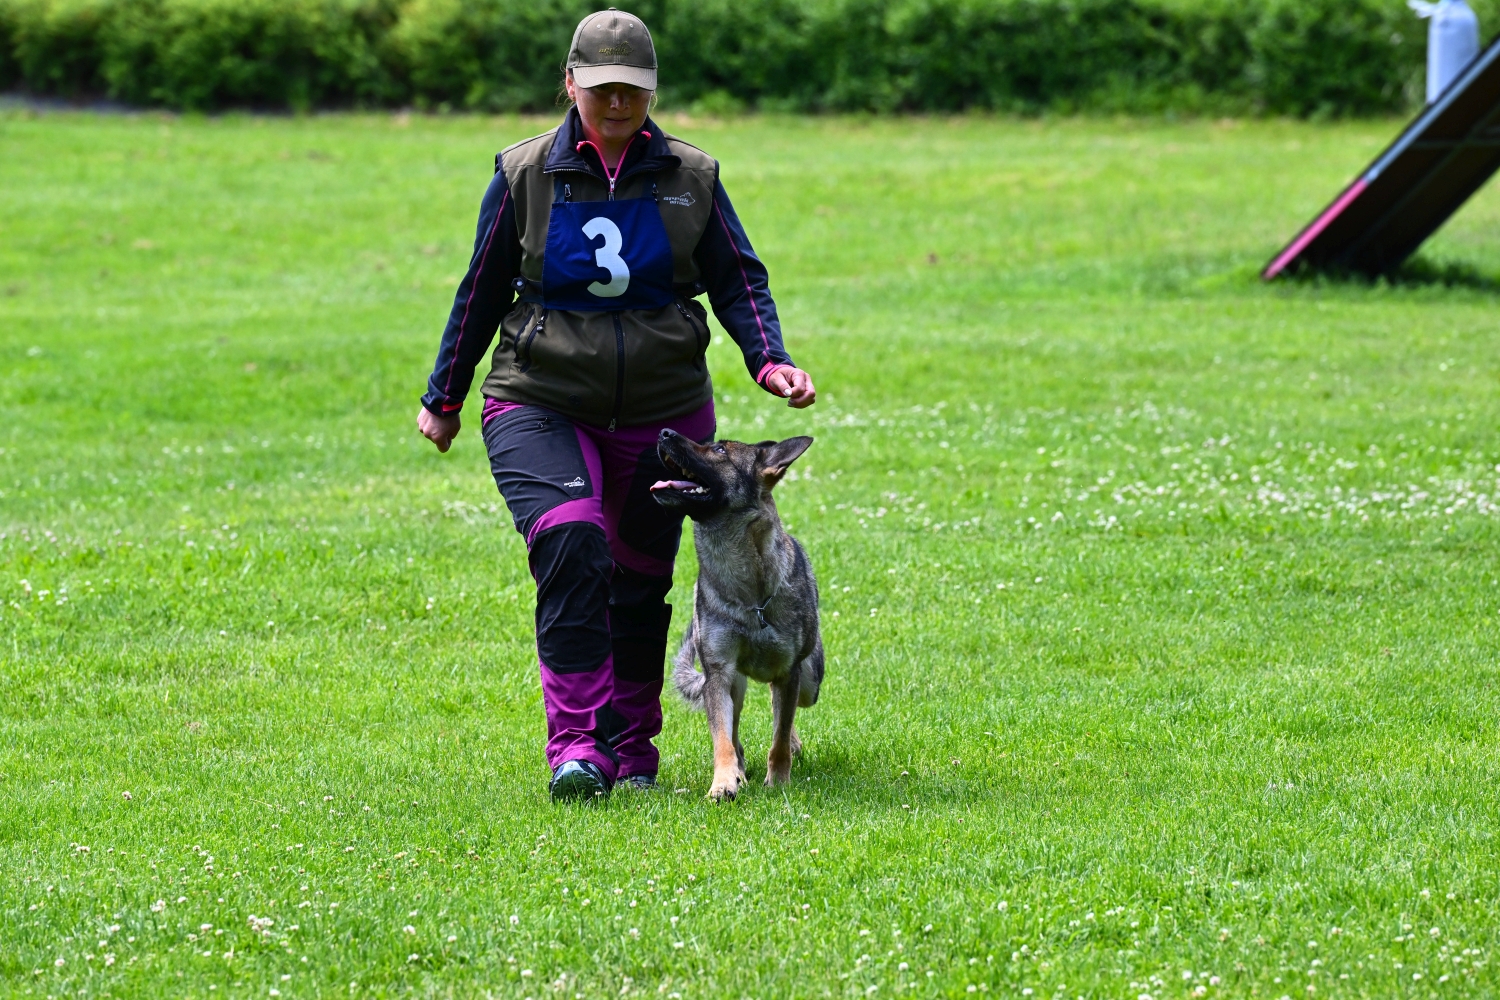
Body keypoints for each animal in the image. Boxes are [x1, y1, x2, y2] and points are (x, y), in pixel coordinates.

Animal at [651, 431, 828, 803]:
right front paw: (723, 783)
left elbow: (779, 738)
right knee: (735, 730)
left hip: (809, 682)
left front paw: (779, 781)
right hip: (734, 683)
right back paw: (740, 771)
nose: (664, 433)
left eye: (720, 450)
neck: (750, 595)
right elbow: (723, 740)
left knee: (787, 713)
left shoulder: (789, 673)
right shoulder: (718, 674)